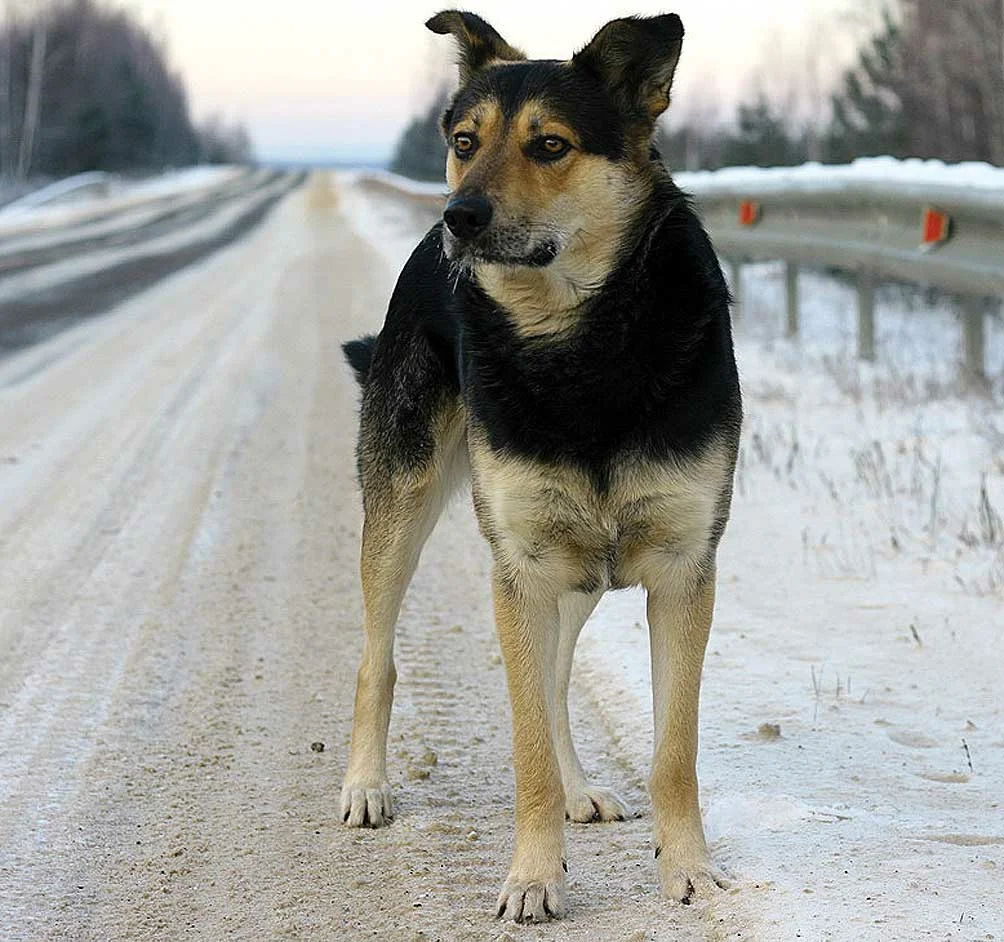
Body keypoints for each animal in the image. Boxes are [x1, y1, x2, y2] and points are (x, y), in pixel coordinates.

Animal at [341, 5, 742, 919]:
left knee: (555, 682)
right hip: (404, 507)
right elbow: (522, 744)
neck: (579, 342)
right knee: (379, 657)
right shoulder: (519, 565)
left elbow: (674, 752)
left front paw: (687, 868)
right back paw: (366, 785)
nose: (458, 217)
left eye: (550, 145)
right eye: (464, 140)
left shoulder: (682, 567)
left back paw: (577, 788)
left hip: (579, 569)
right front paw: (531, 876)